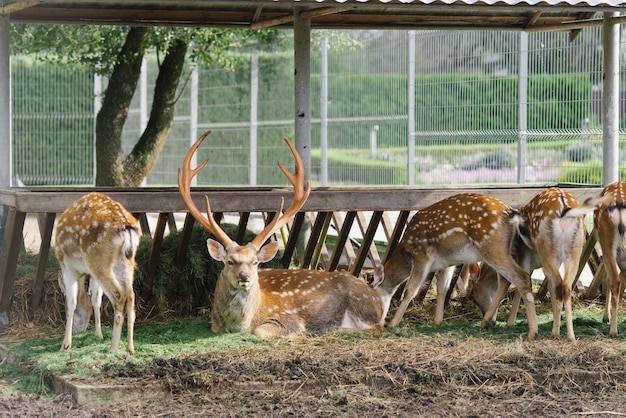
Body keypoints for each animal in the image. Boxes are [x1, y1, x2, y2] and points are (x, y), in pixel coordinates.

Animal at [54, 192, 139, 352]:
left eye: (64, 308)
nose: (77, 329)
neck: (82, 273)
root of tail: (127, 229)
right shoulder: (91, 274)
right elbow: (96, 299)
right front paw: (98, 334)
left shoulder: (67, 266)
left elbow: (73, 301)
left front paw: (66, 344)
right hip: (125, 262)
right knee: (131, 297)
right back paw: (130, 349)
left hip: (97, 259)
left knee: (119, 296)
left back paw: (113, 348)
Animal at [178, 132, 382, 338]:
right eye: (230, 261)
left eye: (255, 262)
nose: (244, 276)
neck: (241, 323)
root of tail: (378, 300)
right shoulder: (214, 324)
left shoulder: (288, 318)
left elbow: (260, 331)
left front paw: (298, 334)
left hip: (361, 304)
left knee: (376, 328)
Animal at [372, 194, 540, 342]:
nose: (376, 324)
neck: (406, 251)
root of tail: (513, 215)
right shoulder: (446, 263)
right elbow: (442, 288)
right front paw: (437, 322)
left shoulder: (422, 255)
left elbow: (410, 289)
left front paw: (393, 323)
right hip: (500, 250)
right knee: (506, 281)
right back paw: (487, 322)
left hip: (491, 245)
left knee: (522, 277)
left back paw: (531, 332)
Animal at [466, 188, 604, 342]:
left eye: (475, 297)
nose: (492, 323)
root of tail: (564, 208)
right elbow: (546, 287)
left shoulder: (524, 257)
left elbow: (519, 287)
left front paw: (509, 323)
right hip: (574, 250)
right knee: (565, 287)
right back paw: (569, 336)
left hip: (547, 250)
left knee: (559, 286)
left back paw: (556, 334)